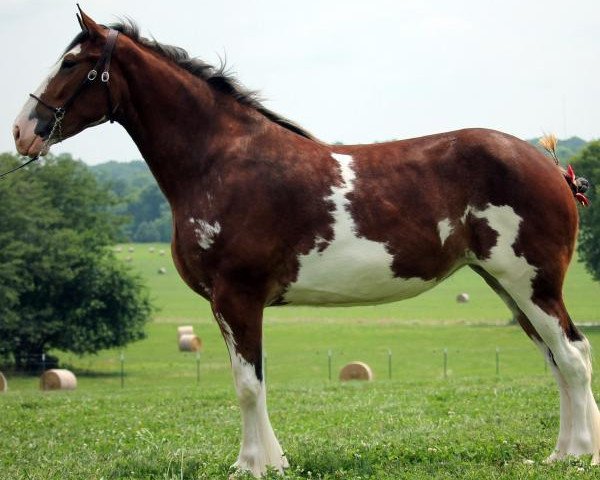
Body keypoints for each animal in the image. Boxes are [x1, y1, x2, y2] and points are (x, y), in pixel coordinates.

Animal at [11, 6, 596, 476]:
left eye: (71, 63)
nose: (22, 130)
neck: (220, 160)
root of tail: (549, 165)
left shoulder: (236, 296)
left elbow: (248, 384)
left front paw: (251, 466)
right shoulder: (232, 303)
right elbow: (254, 380)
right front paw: (272, 462)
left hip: (531, 283)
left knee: (572, 355)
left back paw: (579, 455)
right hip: (507, 286)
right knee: (556, 359)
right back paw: (559, 455)